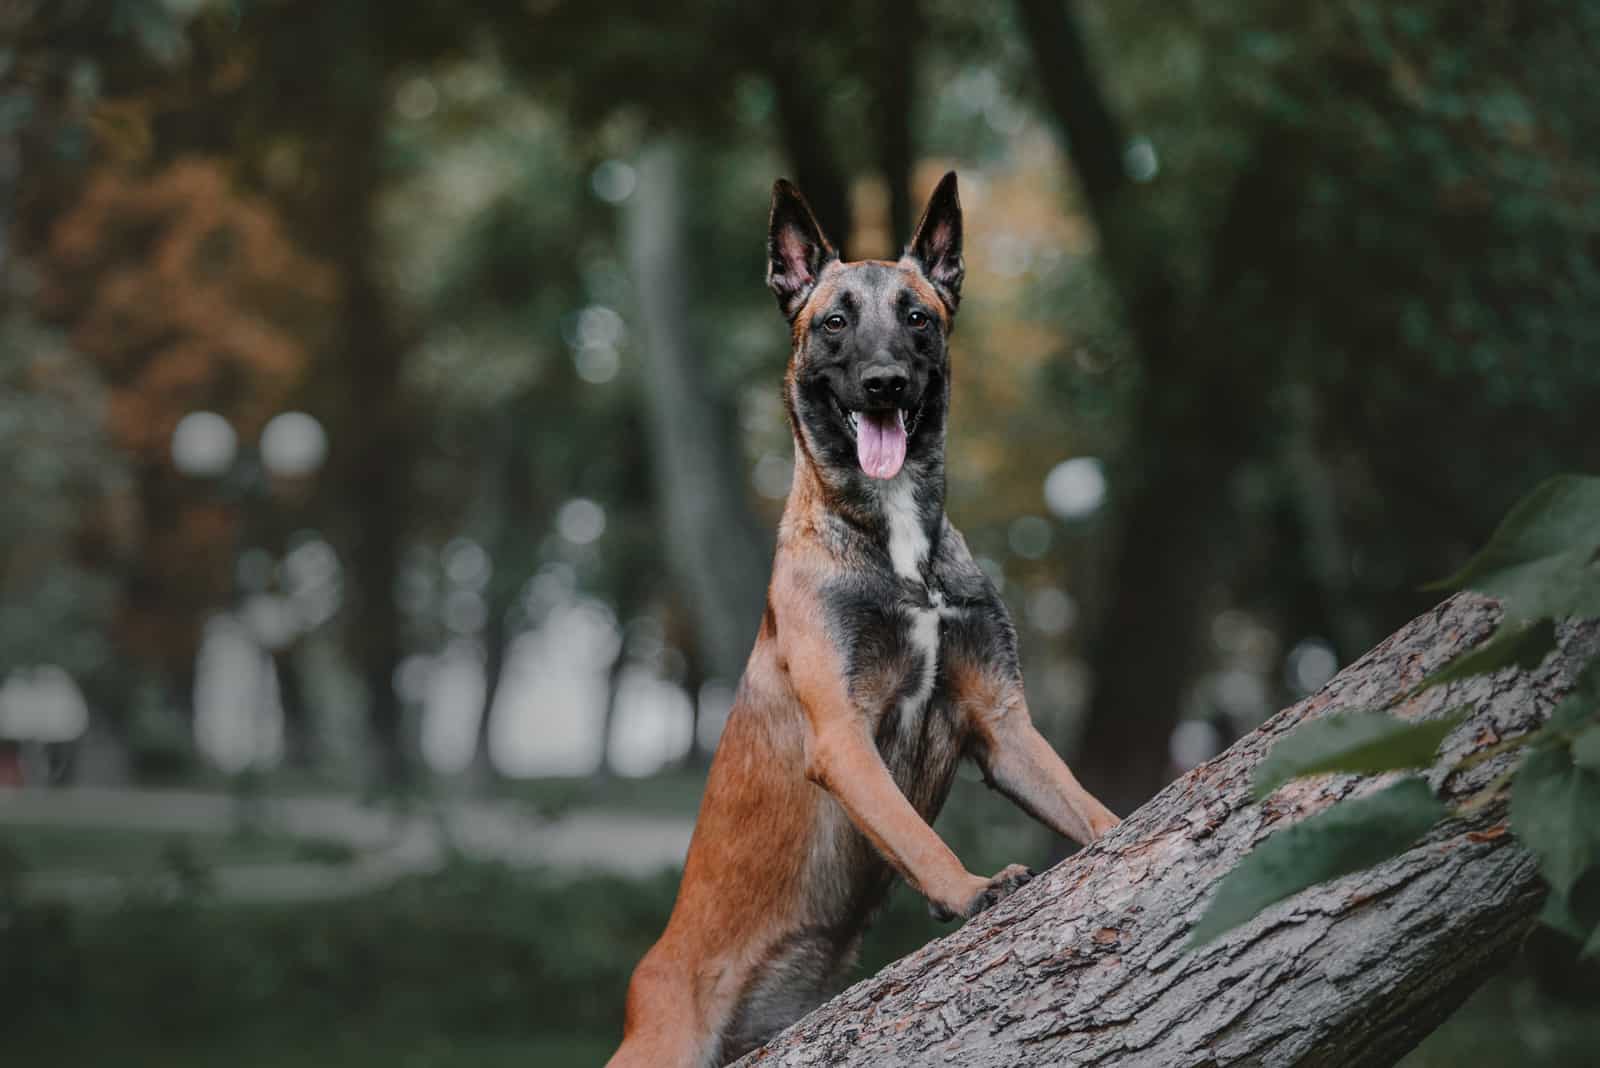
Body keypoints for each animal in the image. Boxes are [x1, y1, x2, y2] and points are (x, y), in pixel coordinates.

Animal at [604, 171, 1120, 1061]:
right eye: (835, 321)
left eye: (918, 316)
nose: (884, 383)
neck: (895, 541)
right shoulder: (843, 738)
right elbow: (915, 837)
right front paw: (971, 889)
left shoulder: (1002, 722)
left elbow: (1080, 801)